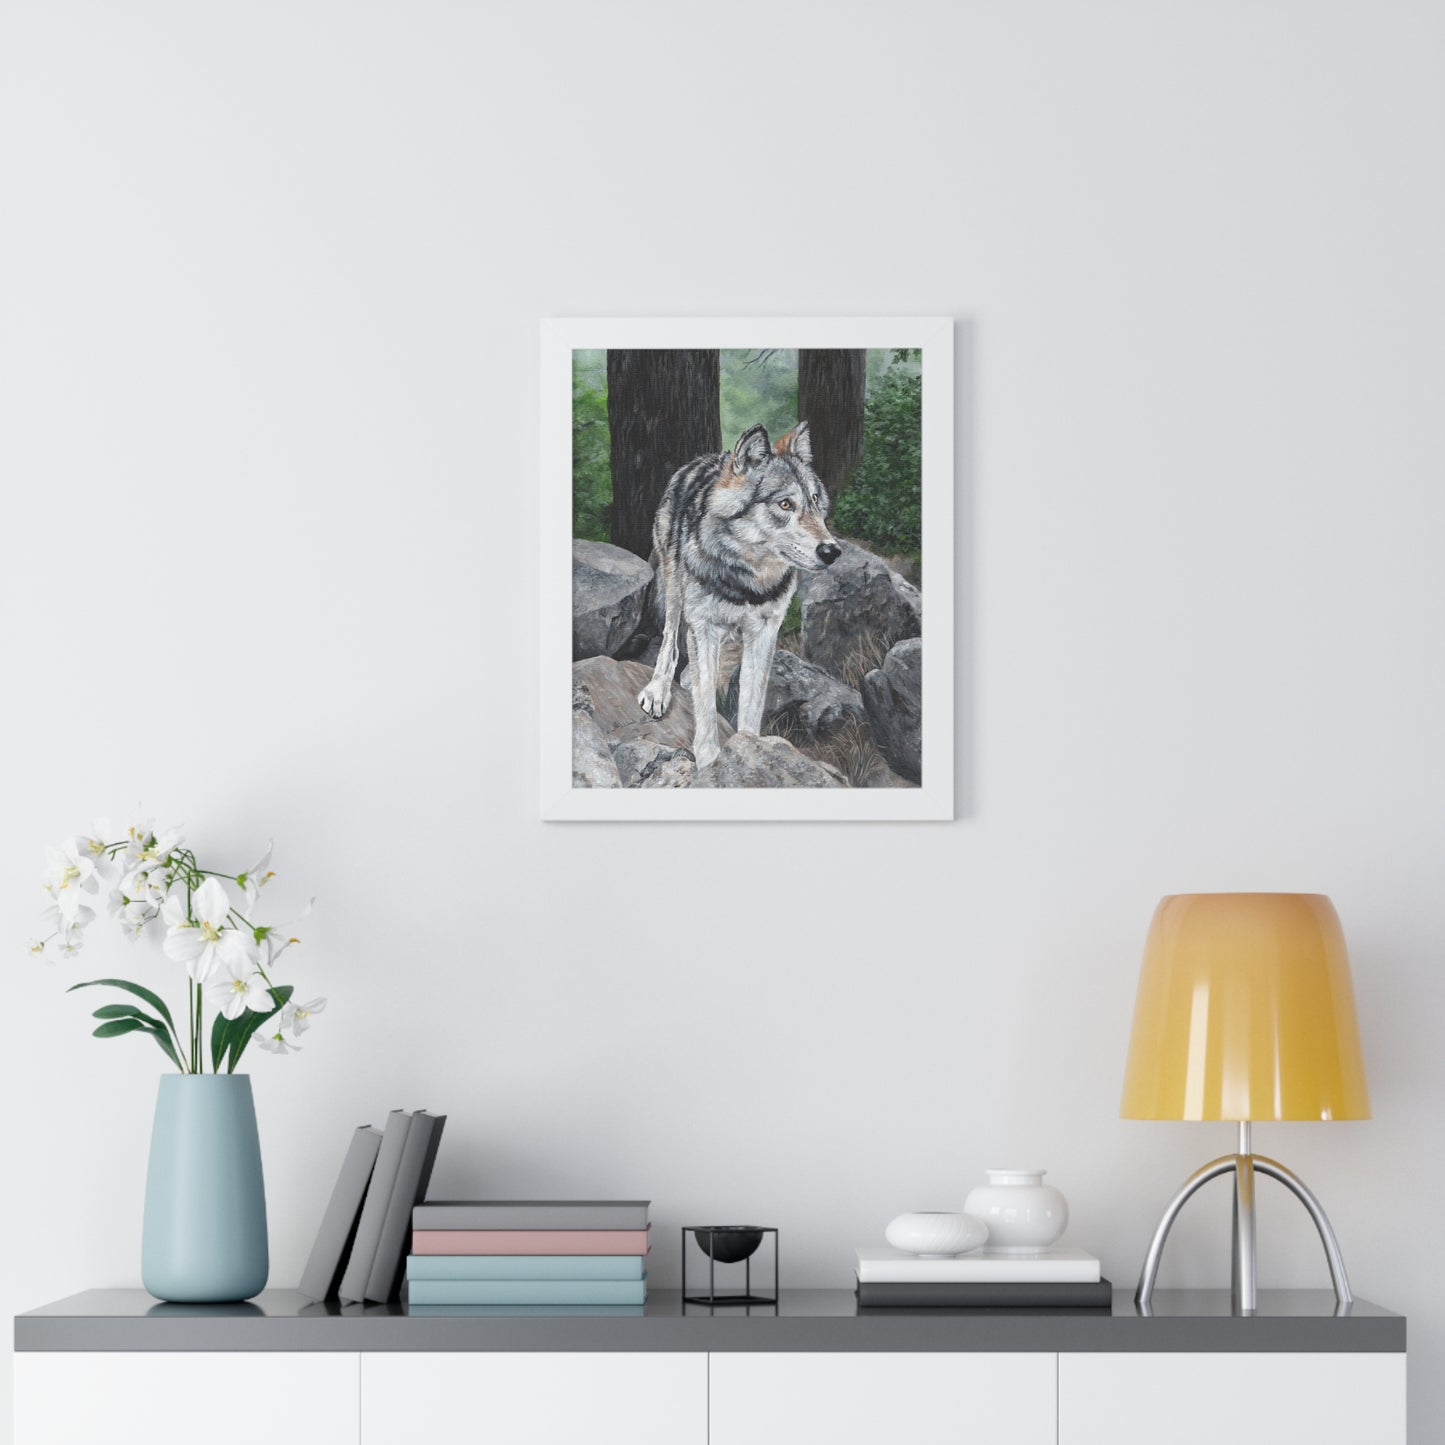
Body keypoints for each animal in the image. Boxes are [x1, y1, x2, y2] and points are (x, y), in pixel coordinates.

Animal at [638, 421, 841, 769]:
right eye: (785, 504)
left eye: (816, 500)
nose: (832, 551)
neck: (748, 581)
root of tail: (704, 458)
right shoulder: (703, 626)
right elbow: (706, 702)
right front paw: (709, 761)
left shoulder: (764, 632)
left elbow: (751, 701)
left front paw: (751, 751)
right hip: (674, 587)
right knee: (669, 640)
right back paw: (659, 689)